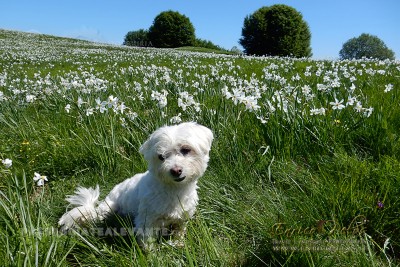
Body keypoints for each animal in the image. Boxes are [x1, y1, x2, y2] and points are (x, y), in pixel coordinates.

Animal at [58, 122, 212, 248]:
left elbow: (179, 232)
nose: (175, 170)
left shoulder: (182, 217)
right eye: (161, 157)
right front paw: (152, 256)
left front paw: (178, 244)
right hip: (108, 208)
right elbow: (147, 242)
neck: (174, 190)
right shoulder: (146, 220)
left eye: (186, 150)